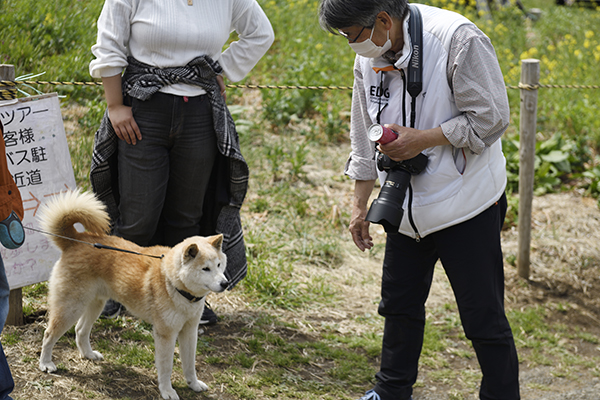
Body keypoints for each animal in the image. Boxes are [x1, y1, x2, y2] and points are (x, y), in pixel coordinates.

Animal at [37, 189, 229, 398]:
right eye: (205, 269)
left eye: (219, 265)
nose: (225, 283)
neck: (174, 284)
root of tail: (75, 241)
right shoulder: (166, 334)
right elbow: (166, 367)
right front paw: (167, 391)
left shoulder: (190, 330)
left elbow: (190, 364)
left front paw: (193, 384)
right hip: (71, 308)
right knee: (49, 334)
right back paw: (46, 363)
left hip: (95, 304)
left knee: (80, 330)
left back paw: (88, 354)